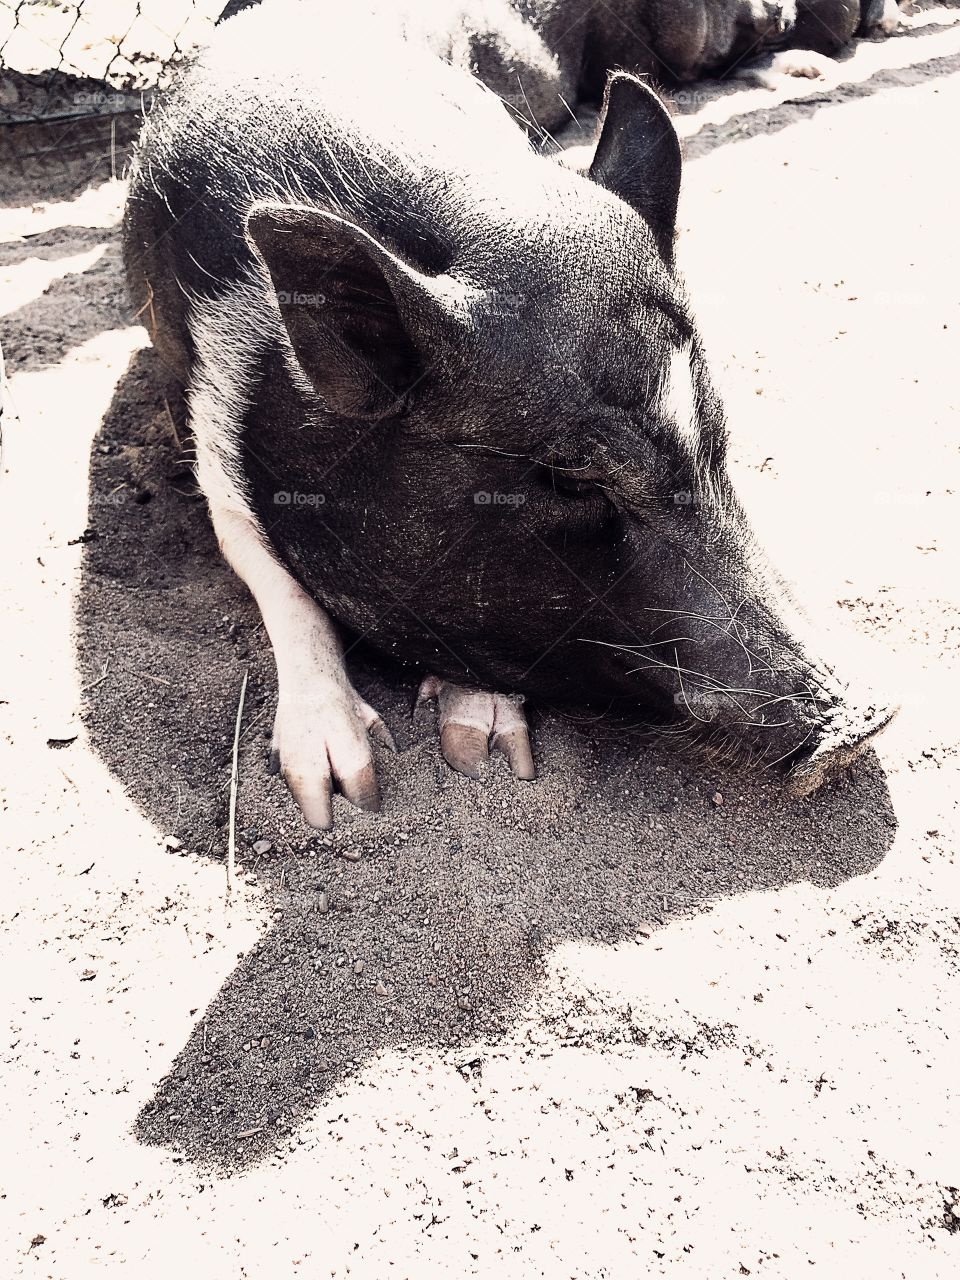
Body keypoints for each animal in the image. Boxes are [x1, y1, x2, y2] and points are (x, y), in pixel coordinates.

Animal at [124, 0, 901, 829]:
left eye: (721, 436)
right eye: (569, 478)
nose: (866, 719)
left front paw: (485, 749)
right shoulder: (210, 427)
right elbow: (273, 576)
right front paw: (343, 794)